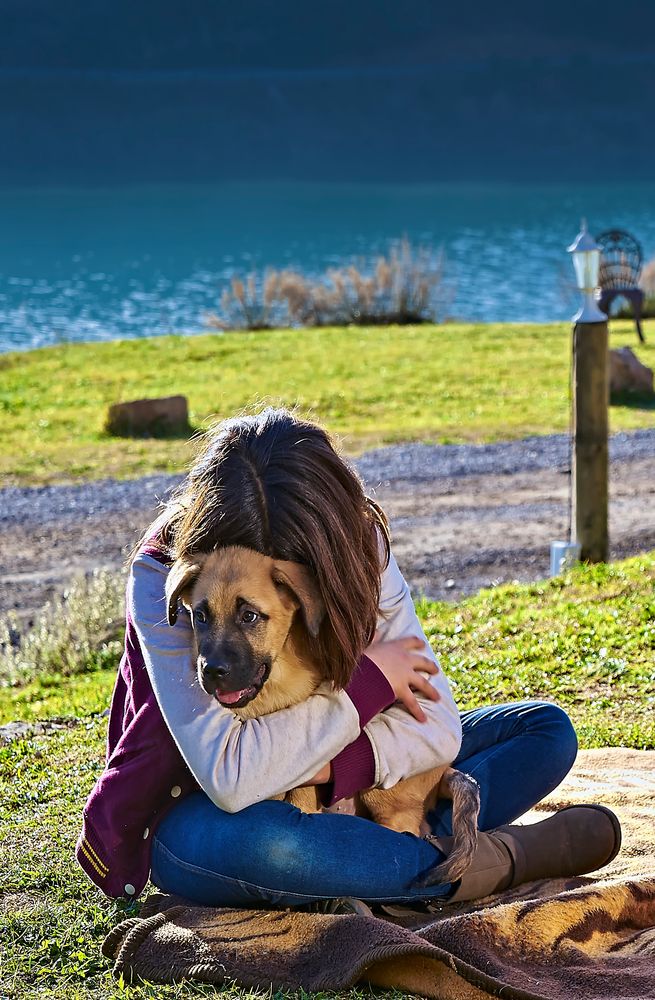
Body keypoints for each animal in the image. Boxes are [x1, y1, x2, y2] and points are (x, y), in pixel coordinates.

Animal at [167, 544, 480, 888]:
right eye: (200, 617)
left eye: (249, 616)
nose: (211, 671)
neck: (267, 692)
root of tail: (445, 769)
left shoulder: (306, 762)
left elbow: (298, 798)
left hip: (384, 792)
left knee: (408, 832)